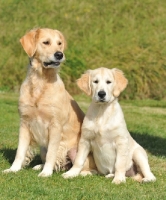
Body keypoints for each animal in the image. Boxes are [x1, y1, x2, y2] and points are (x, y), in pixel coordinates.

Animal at [2, 27, 96, 177]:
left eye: (59, 43)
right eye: (46, 42)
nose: (59, 54)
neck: (41, 81)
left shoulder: (55, 126)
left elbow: (52, 153)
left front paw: (46, 173)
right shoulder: (24, 122)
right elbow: (20, 152)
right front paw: (13, 169)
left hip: (77, 151)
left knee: (87, 168)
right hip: (42, 148)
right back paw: (39, 166)